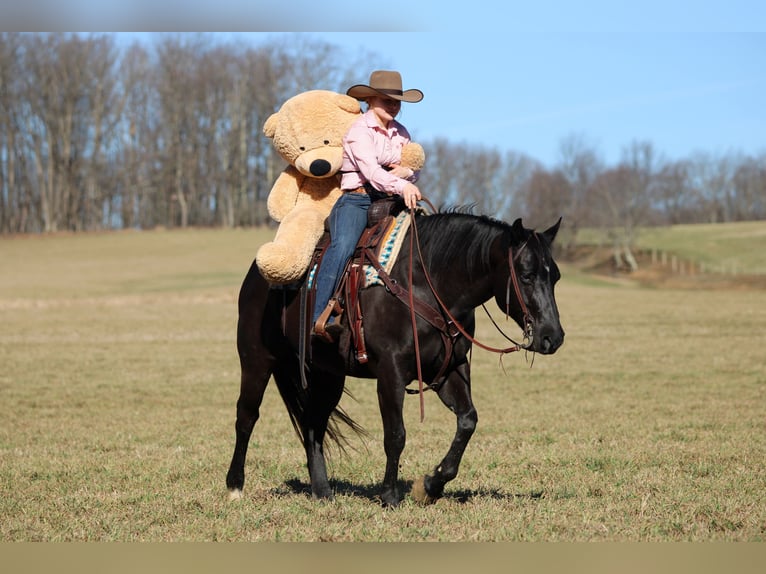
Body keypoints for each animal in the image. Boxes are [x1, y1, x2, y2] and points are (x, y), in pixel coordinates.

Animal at [226, 209, 565, 507]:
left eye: (556, 277)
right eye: (526, 275)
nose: (553, 336)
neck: (425, 286)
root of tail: (257, 275)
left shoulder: (450, 370)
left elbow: (468, 421)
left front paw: (431, 485)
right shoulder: (392, 374)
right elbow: (395, 435)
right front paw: (389, 495)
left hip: (328, 375)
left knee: (313, 424)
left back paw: (322, 491)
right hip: (256, 359)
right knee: (247, 416)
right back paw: (235, 487)